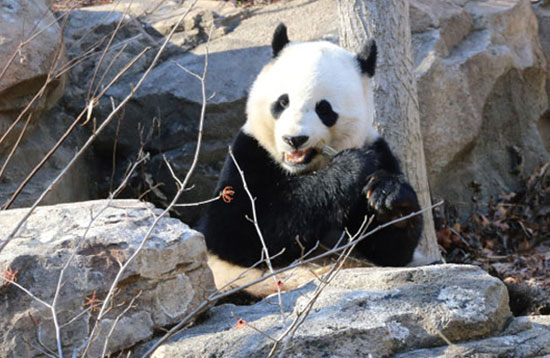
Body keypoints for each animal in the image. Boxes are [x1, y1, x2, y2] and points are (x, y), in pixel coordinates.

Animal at [198, 23, 422, 296]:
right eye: (282, 102)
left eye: (324, 109)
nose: (294, 139)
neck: (299, 170)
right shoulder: (248, 154)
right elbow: (238, 229)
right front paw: (350, 168)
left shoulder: (378, 148)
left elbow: (392, 252)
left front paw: (390, 196)